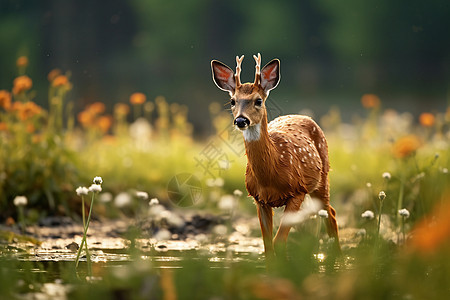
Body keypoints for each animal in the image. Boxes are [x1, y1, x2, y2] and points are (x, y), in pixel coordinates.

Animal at [211, 52, 342, 256]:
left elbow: (279, 241)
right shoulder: (259, 199)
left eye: (258, 100)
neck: (271, 173)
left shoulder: (297, 190)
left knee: (332, 215)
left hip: (323, 179)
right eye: (233, 101)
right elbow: (268, 245)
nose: (241, 120)